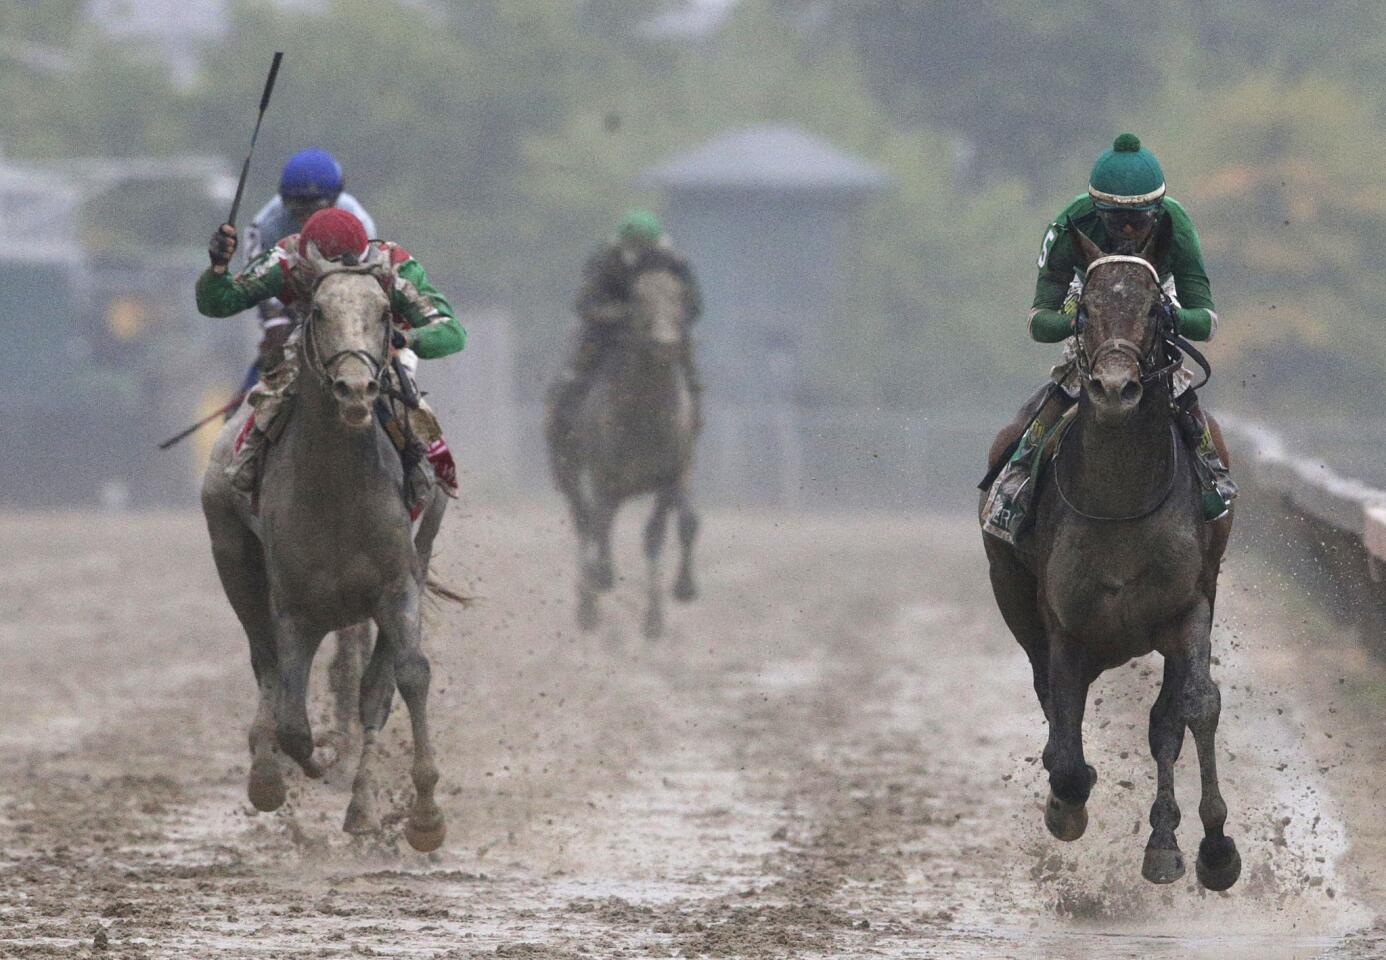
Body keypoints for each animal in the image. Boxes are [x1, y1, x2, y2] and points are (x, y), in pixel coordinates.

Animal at [202, 243, 449, 847]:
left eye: (385, 313)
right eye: (317, 311)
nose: (357, 390)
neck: (339, 490)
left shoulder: (396, 585)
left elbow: (405, 677)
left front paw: (423, 817)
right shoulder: (295, 606)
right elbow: (294, 723)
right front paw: (303, 764)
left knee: (374, 685)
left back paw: (361, 807)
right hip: (232, 557)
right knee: (264, 661)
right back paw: (267, 770)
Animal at [548, 265, 704, 640]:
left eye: (678, 298)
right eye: (640, 300)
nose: (666, 343)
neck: (645, 415)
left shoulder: (671, 475)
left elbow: (665, 531)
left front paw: (664, 609)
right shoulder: (605, 476)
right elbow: (600, 525)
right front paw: (602, 577)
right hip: (567, 469)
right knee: (585, 521)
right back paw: (588, 605)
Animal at [981, 217, 1241, 892]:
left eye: (1153, 309)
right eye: (1085, 310)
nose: (1115, 387)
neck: (1121, 497)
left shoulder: (1188, 607)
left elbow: (1196, 707)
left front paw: (1214, 847)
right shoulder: (1065, 625)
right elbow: (1067, 744)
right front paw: (1066, 804)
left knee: (1164, 724)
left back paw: (1164, 839)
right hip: (1012, 595)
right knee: (1051, 704)